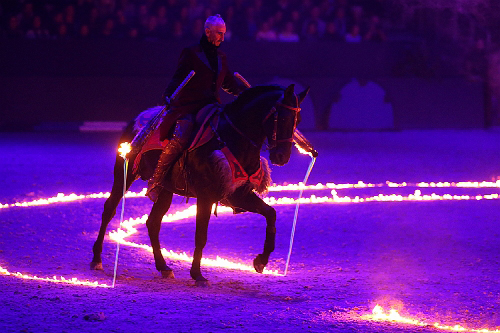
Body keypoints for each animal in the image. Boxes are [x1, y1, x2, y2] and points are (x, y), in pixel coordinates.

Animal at [90, 84, 308, 284]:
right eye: (281, 118)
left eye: (297, 120)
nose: (282, 156)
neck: (232, 138)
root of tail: (138, 119)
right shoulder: (206, 196)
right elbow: (201, 235)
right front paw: (197, 274)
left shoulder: (240, 194)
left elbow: (271, 214)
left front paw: (261, 260)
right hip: (124, 174)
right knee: (109, 209)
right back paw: (97, 259)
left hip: (165, 189)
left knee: (153, 222)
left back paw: (163, 267)